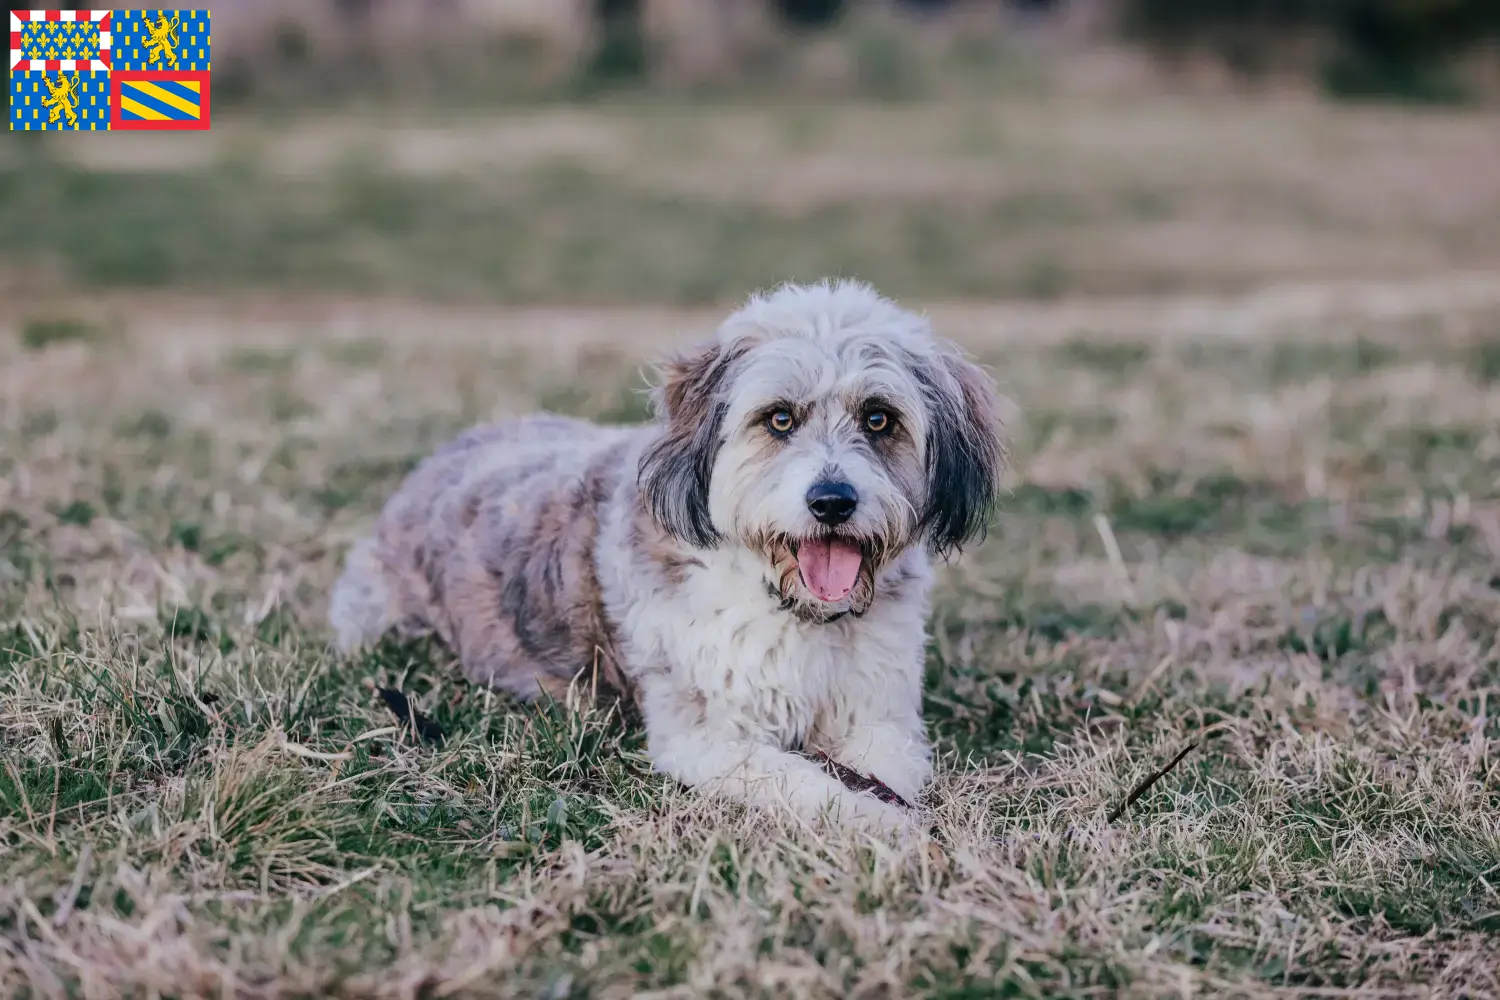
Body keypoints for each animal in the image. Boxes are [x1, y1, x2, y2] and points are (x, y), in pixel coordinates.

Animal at [330, 277, 1008, 833]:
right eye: (779, 419)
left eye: (879, 418)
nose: (832, 501)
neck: (793, 610)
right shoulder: (707, 735)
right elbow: (804, 782)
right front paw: (879, 823)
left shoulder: (880, 715)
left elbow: (884, 770)